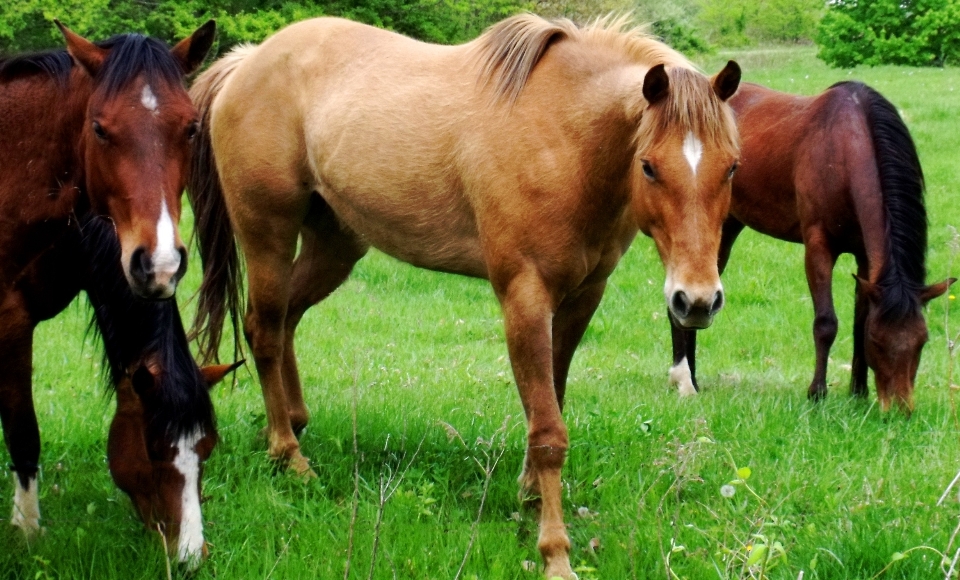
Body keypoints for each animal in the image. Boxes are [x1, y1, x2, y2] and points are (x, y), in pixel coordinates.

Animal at [0, 22, 221, 568]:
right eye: (99, 129)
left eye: (191, 129)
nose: (190, 556)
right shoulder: (10, 321)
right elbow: (23, 431)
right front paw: (27, 530)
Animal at [189, 15, 744, 576]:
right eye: (649, 166)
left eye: (732, 167)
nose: (697, 301)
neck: (562, 139)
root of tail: (247, 62)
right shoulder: (525, 297)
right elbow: (548, 431)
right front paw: (554, 551)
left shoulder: (584, 296)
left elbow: (552, 399)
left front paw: (529, 497)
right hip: (268, 235)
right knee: (263, 329)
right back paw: (288, 455)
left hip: (335, 245)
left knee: (286, 320)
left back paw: (294, 424)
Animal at [668, 81, 952, 414]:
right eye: (879, 343)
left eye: (922, 341)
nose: (898, 409)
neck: (845, 150)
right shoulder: (818, 247)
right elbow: (826, 323)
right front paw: (817, 393)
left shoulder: (866, 260)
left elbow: (859, 321)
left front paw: (858, 392)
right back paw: (687, 379)